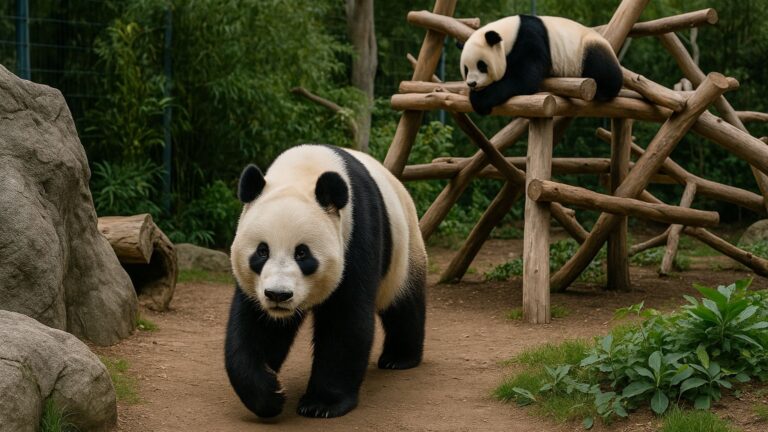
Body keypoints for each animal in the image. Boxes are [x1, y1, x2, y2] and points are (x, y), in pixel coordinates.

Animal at [226, 144, 427, 419]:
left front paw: (321, 404)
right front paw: (270, 394)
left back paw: (399, 358)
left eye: (302, 253)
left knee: (403, 303)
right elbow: (257, 327)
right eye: (262, 251)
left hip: (405, 248)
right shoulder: (257, 286)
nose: (278, 295)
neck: (303, 171)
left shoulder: (356, 233)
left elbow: (344, 321)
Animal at [460, 15, 623, 115]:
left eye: (481, 65)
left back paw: (603, 91)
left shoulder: (529, 40)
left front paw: (479, 100)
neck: (508, 34)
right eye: (466, 69)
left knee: (602, 65)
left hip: (585, 48)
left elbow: (524, 79)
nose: (472, 83)